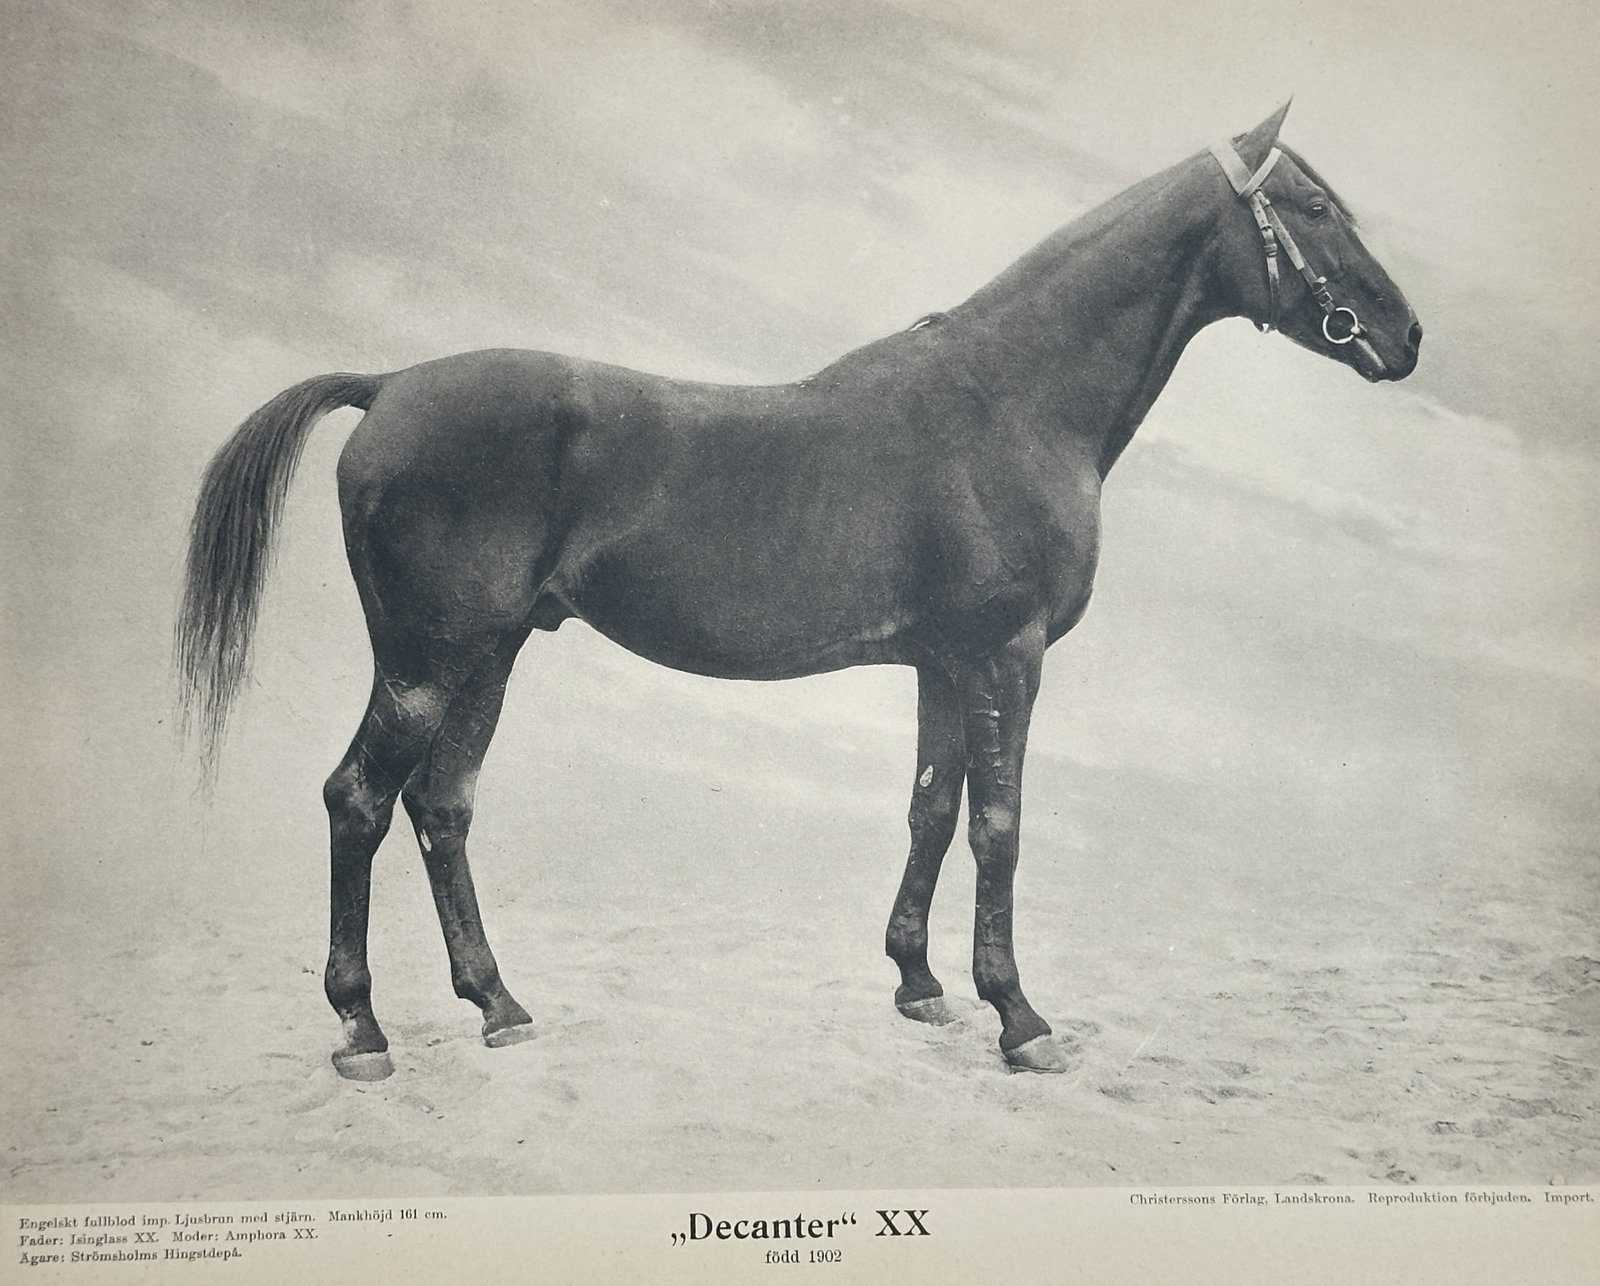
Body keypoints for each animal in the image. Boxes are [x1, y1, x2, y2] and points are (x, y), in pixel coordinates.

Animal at [177, 104, 1421, 1081]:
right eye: (1311, 205)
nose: (1406, 334)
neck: (1012, 400)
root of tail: (387, 386)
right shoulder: (1006, 655)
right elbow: (1001, 826)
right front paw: (1019, 1017)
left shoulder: (944, 662)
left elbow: (930, 808)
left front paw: (919, 983)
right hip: (426, 661)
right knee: (357, 798)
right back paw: (362, 1029)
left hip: (491, 652)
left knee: (441, 808)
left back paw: (499, 1004)